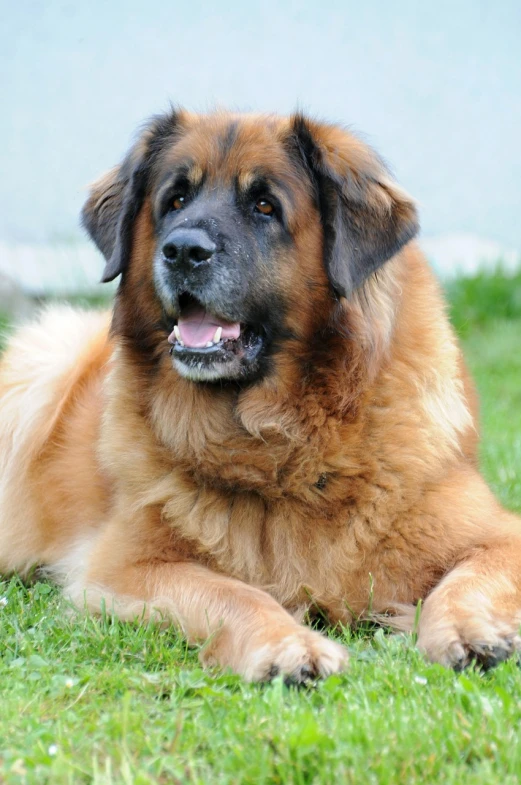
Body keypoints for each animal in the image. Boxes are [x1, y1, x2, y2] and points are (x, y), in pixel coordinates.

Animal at [1, 108, 520, 680]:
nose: (182, 250)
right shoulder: (126, 565)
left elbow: (472, 573)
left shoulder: (493, 530)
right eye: (175, 200)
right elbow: (233, 592)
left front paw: (469, 627)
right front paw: (287, 645)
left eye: (265, 206)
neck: (283, 443)